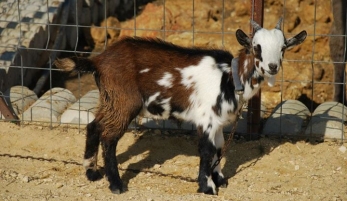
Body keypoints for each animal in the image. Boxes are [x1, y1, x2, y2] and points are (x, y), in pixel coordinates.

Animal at [54, 18, 308, 195]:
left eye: (283, 47)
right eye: (257, 47)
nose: (273, 66)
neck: (229, 76)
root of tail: (98, 60)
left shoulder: (217, 122)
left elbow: (219, 148)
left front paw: (220, 179)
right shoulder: (206, 119)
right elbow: (207, 151)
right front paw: (207, 187)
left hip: (110, 99)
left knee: (94, 126)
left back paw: (91, 172)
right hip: (125, 102)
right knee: (108, 137)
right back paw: (116, 184)